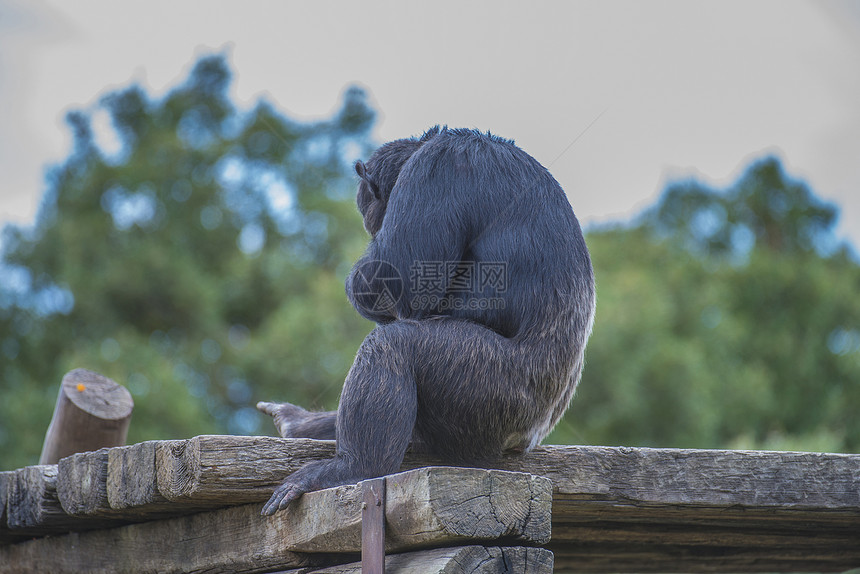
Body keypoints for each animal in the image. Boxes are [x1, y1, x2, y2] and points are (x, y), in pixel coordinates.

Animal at [255, 126, 596, 516]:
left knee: (395, 345)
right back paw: (300, 424)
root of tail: (525, 439)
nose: (370, 222)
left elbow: (399, 273)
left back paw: (352, 469)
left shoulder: (436, 169)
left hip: (490, 392)